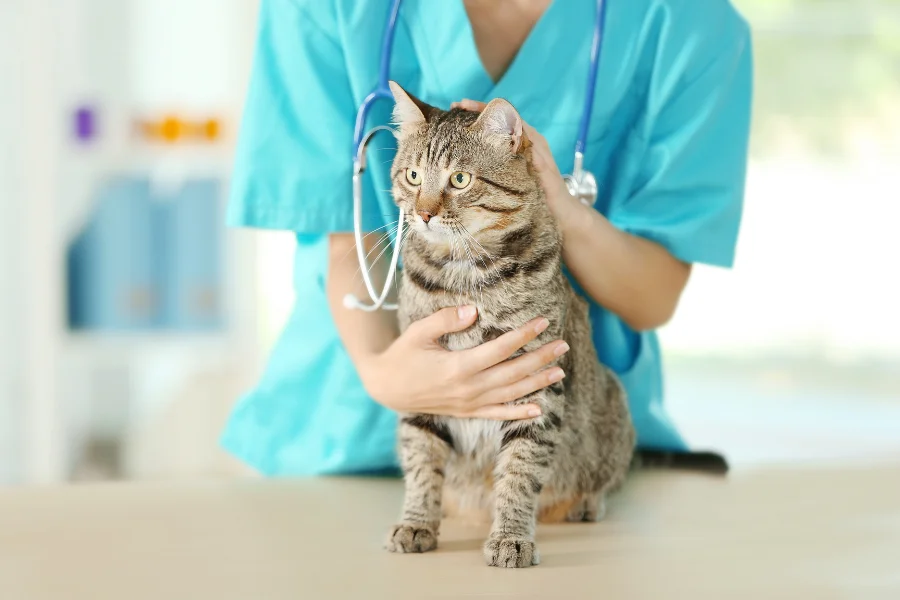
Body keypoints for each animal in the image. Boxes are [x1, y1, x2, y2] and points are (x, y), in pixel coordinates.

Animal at [384, 82, 636, 568]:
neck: (464, 277)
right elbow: (421, 460)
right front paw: (417, 521)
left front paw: (511, 537)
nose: (423, 213)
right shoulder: (423, 375)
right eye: (413, 176)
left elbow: (519, 471)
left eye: (459, 180)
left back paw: (586, 502)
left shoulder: (538, 384)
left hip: (613, 405)